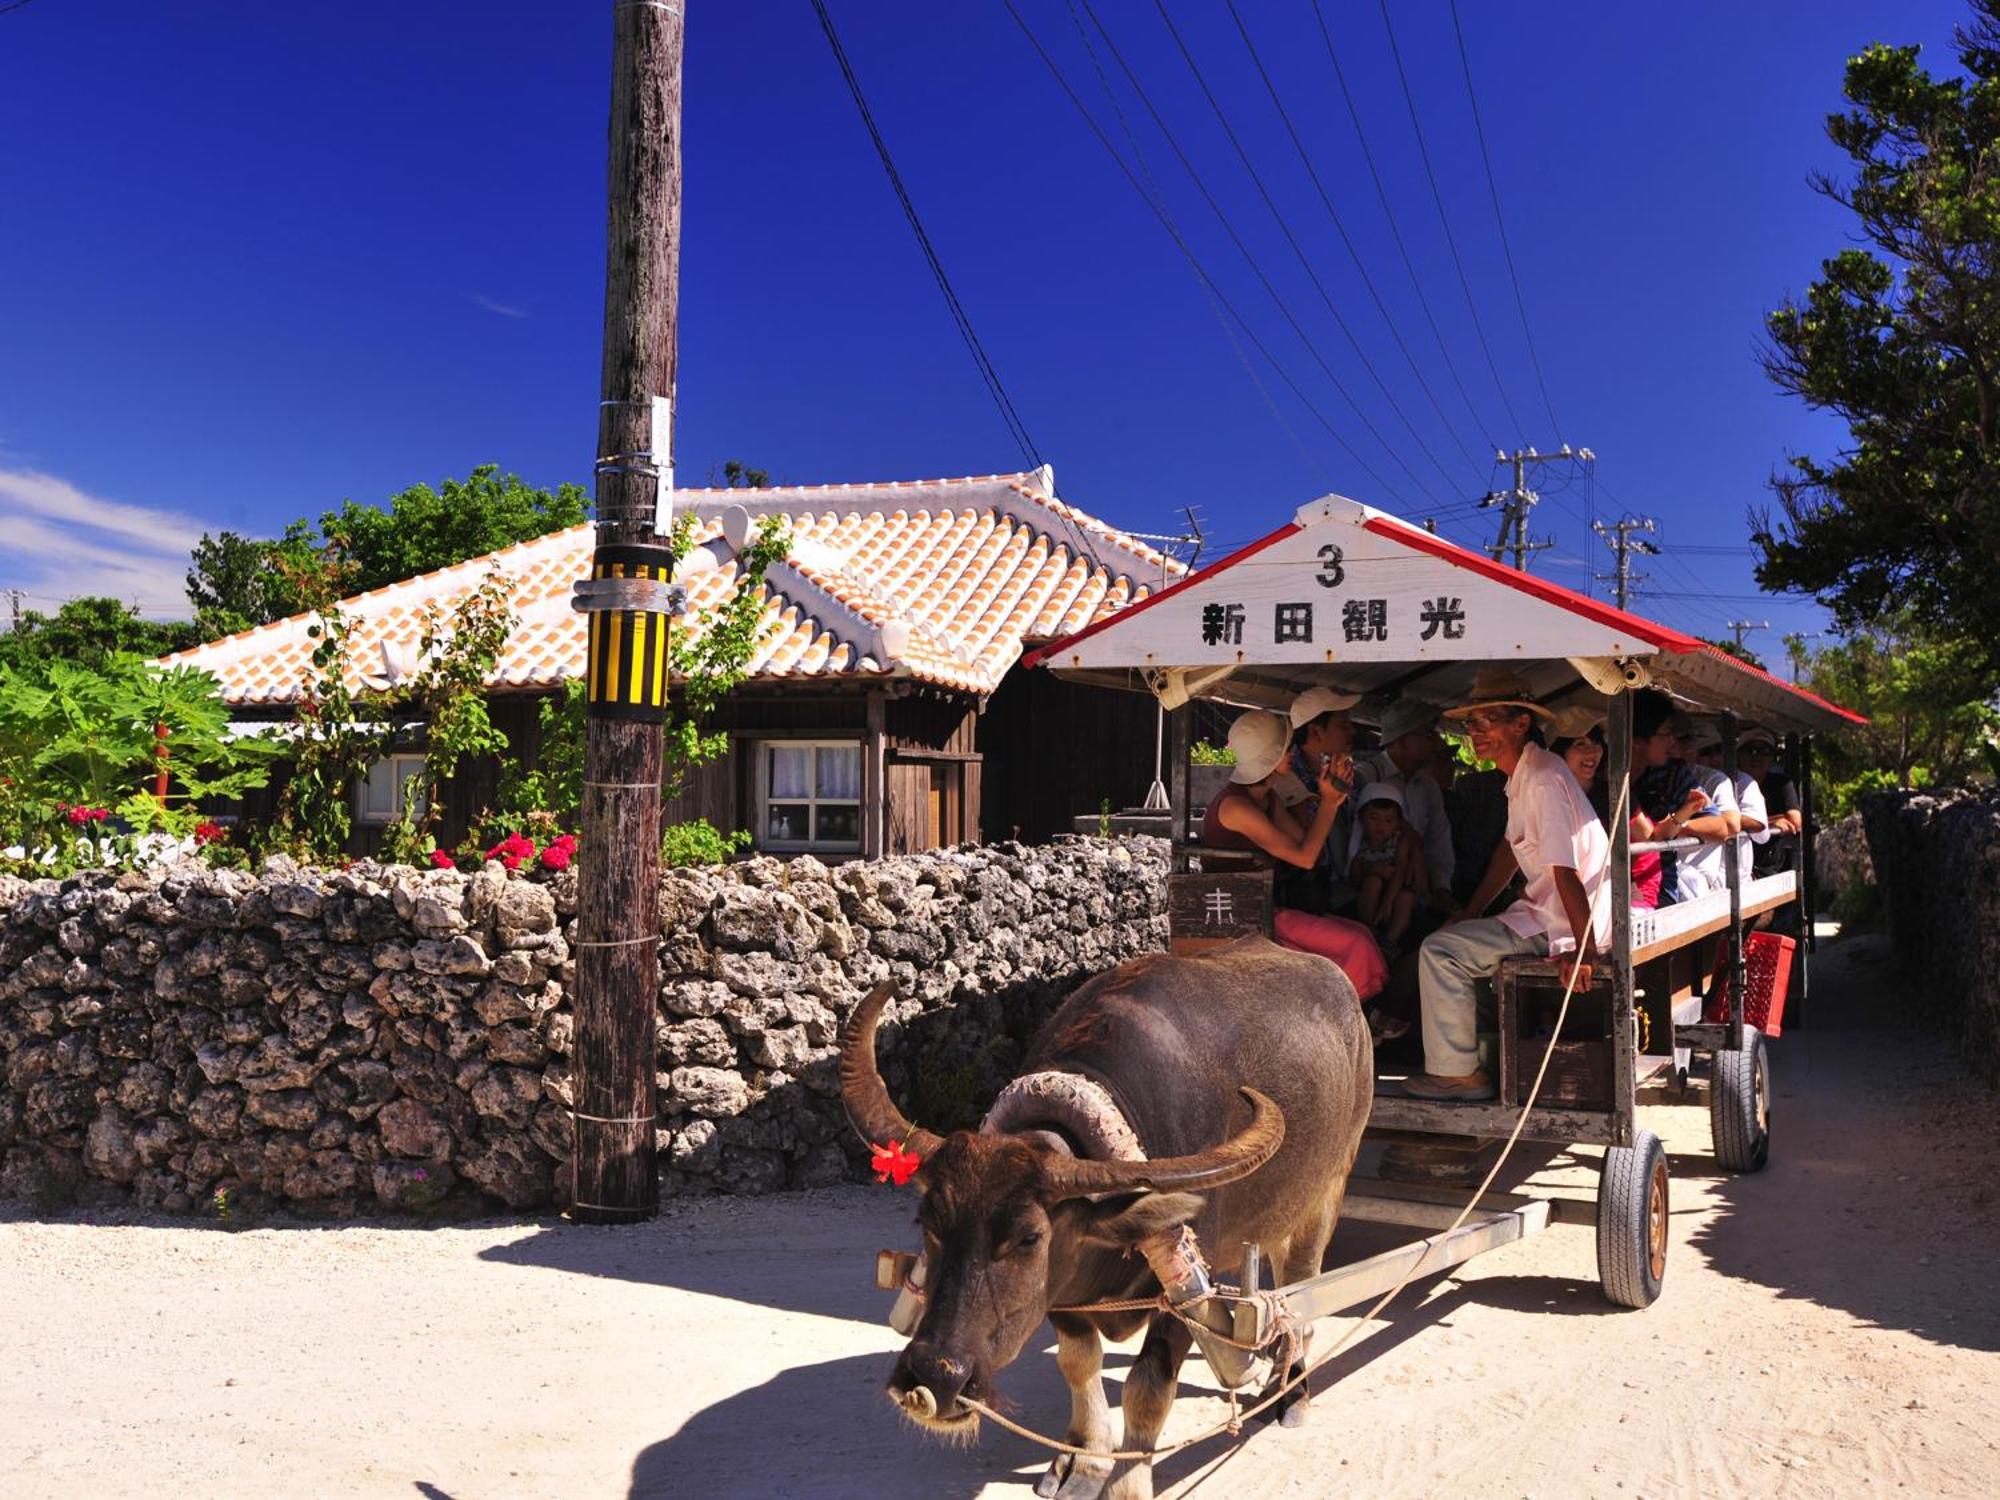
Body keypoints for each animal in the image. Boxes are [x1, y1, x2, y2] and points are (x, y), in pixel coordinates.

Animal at [844, 940, 1376, 1500]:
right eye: (926, 1222)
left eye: (1029, 1237)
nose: (933, 1379)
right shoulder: (1064, 1296)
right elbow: (1078, 1364)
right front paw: (1081, 1460)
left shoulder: (1184, 1292)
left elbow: (1148, 1387)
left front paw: (1126, 1484)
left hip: (1327, 1191)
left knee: (1302, 1292)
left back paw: (1290, 1390)